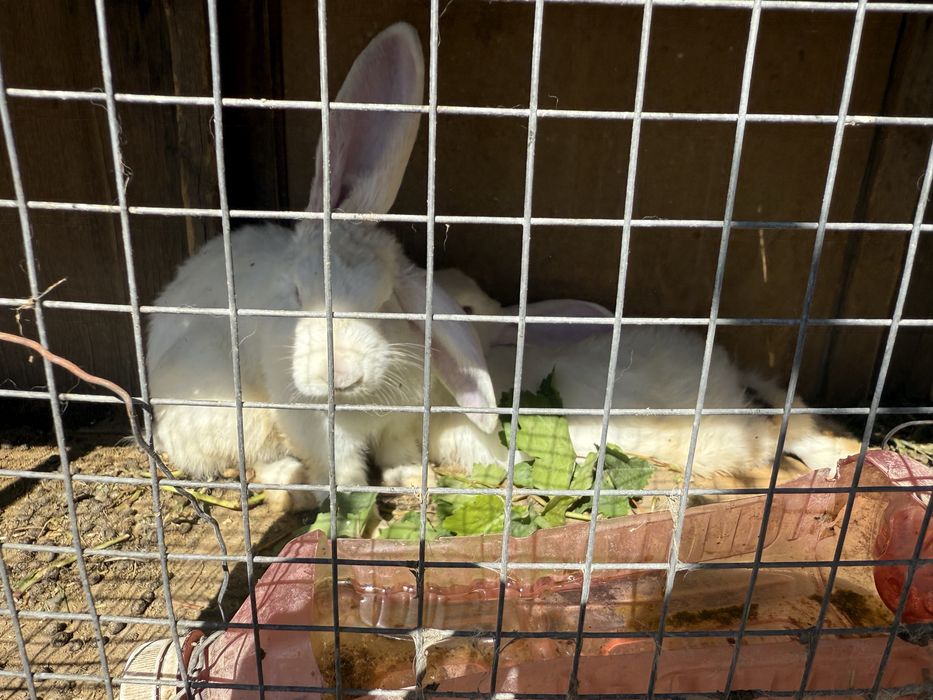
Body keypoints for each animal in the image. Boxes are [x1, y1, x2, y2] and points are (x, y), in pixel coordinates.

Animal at [146, 24, 497, 512]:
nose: (341, 374)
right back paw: (288, 486)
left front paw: (412, 477)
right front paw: (352, 503)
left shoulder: (402, 421)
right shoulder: (320, 432)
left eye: (384, 300)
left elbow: (398, 451)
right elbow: (342, 469)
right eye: (298, 293)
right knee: (244, 460)